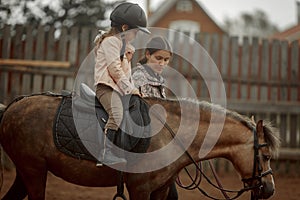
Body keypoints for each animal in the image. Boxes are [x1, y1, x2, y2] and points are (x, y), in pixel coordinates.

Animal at [0, 94, 280, 200]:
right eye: (265, 155)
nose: (269, 189)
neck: (170, 133)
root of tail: (12, 106)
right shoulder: (140, 188)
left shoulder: (160, 189)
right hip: (33, 171)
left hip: (26, 173)